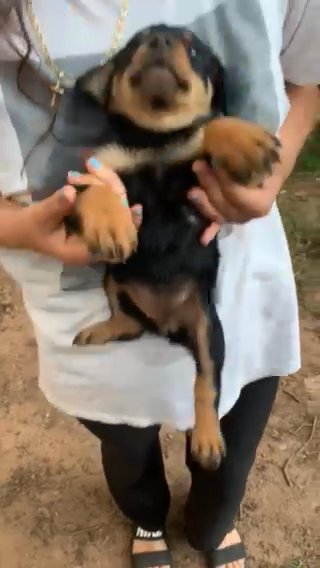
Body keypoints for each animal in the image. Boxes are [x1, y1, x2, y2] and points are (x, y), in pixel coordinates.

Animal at [69, 24, 280, 470]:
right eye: (134, 46)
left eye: (195, 49)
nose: (160, 41)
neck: (156, 139)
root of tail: (165, 326)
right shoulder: (98, 168)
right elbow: (96, 184)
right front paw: (110, 221)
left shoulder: (198, 171)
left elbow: (209, 126)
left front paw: (243, 140)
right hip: (115, 277)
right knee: (127, 318)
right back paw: (103, 328)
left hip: (208, 329)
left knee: (206, 383)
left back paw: (207, 439)